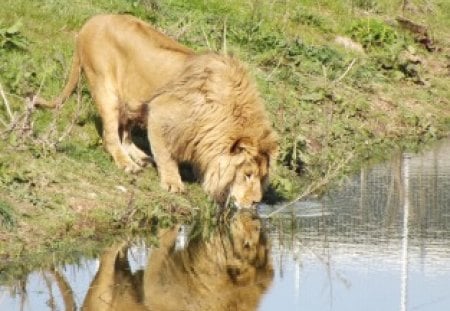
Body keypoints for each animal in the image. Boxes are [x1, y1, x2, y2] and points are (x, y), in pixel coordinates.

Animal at [38, 14, 278, 210]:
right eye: (247, 175)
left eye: (262, 178)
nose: (256, 203)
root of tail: (89, 23)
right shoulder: (159, 111)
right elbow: (165, 155)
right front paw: (173, 183)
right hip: (105, 88)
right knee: (110, 136)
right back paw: (127, 164)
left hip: (132, 100)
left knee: (125, 131)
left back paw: (139, 156)